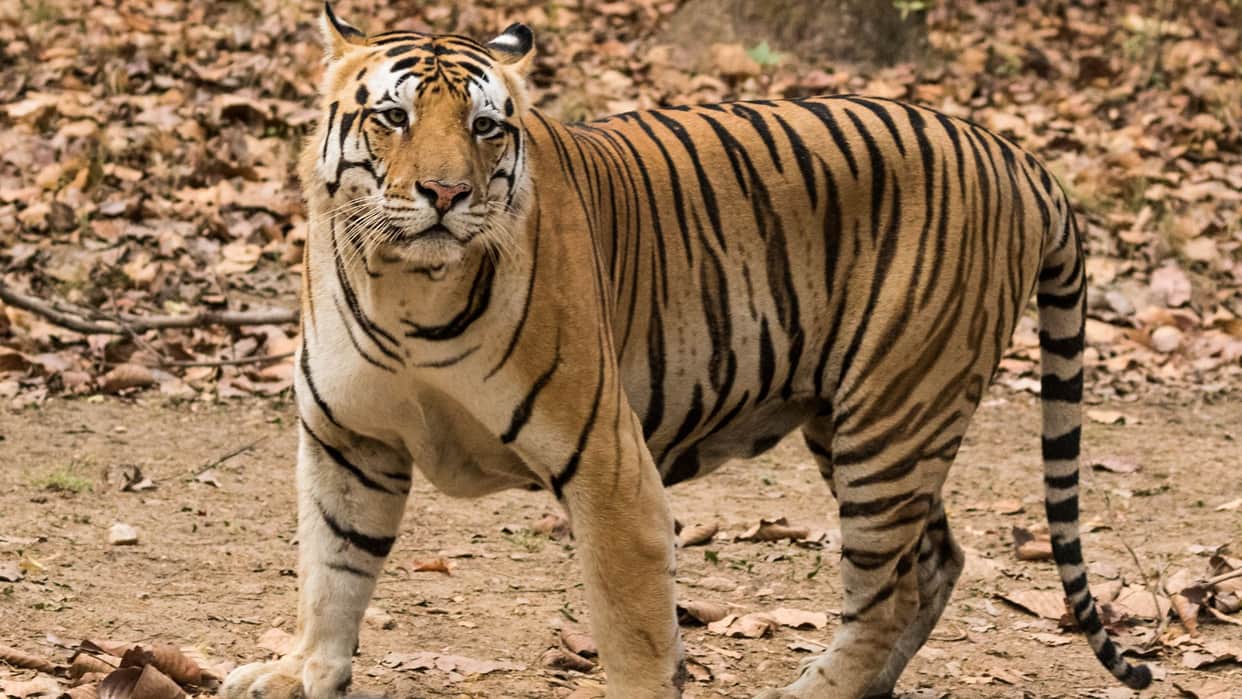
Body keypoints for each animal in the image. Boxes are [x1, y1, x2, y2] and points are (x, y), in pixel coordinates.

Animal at [221, 4, 1153, 698]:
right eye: (393, 117)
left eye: (485, 127)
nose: (445, 194)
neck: (405, 288)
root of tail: (1017, 155)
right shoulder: (350, 439)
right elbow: (332, 569)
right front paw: (301, 672)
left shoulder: (609, 465)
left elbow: (632, 628)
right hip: (860, 419)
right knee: (935, 562)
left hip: (893, 414)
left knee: (885, 591)